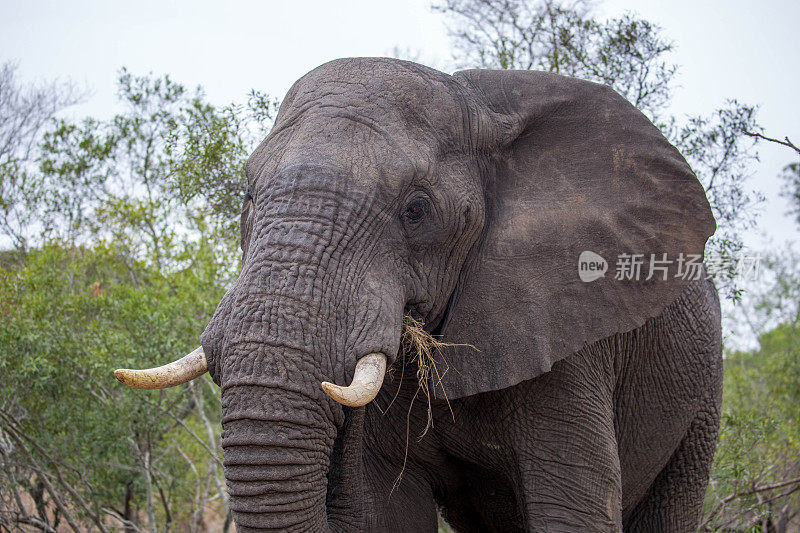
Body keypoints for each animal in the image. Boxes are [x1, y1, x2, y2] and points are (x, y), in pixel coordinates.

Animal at [115, 56, 720, 528]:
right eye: (245, 197)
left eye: (417, 210)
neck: (482, 111)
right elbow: (387, 511)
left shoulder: (568, 334)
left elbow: (572, 510)